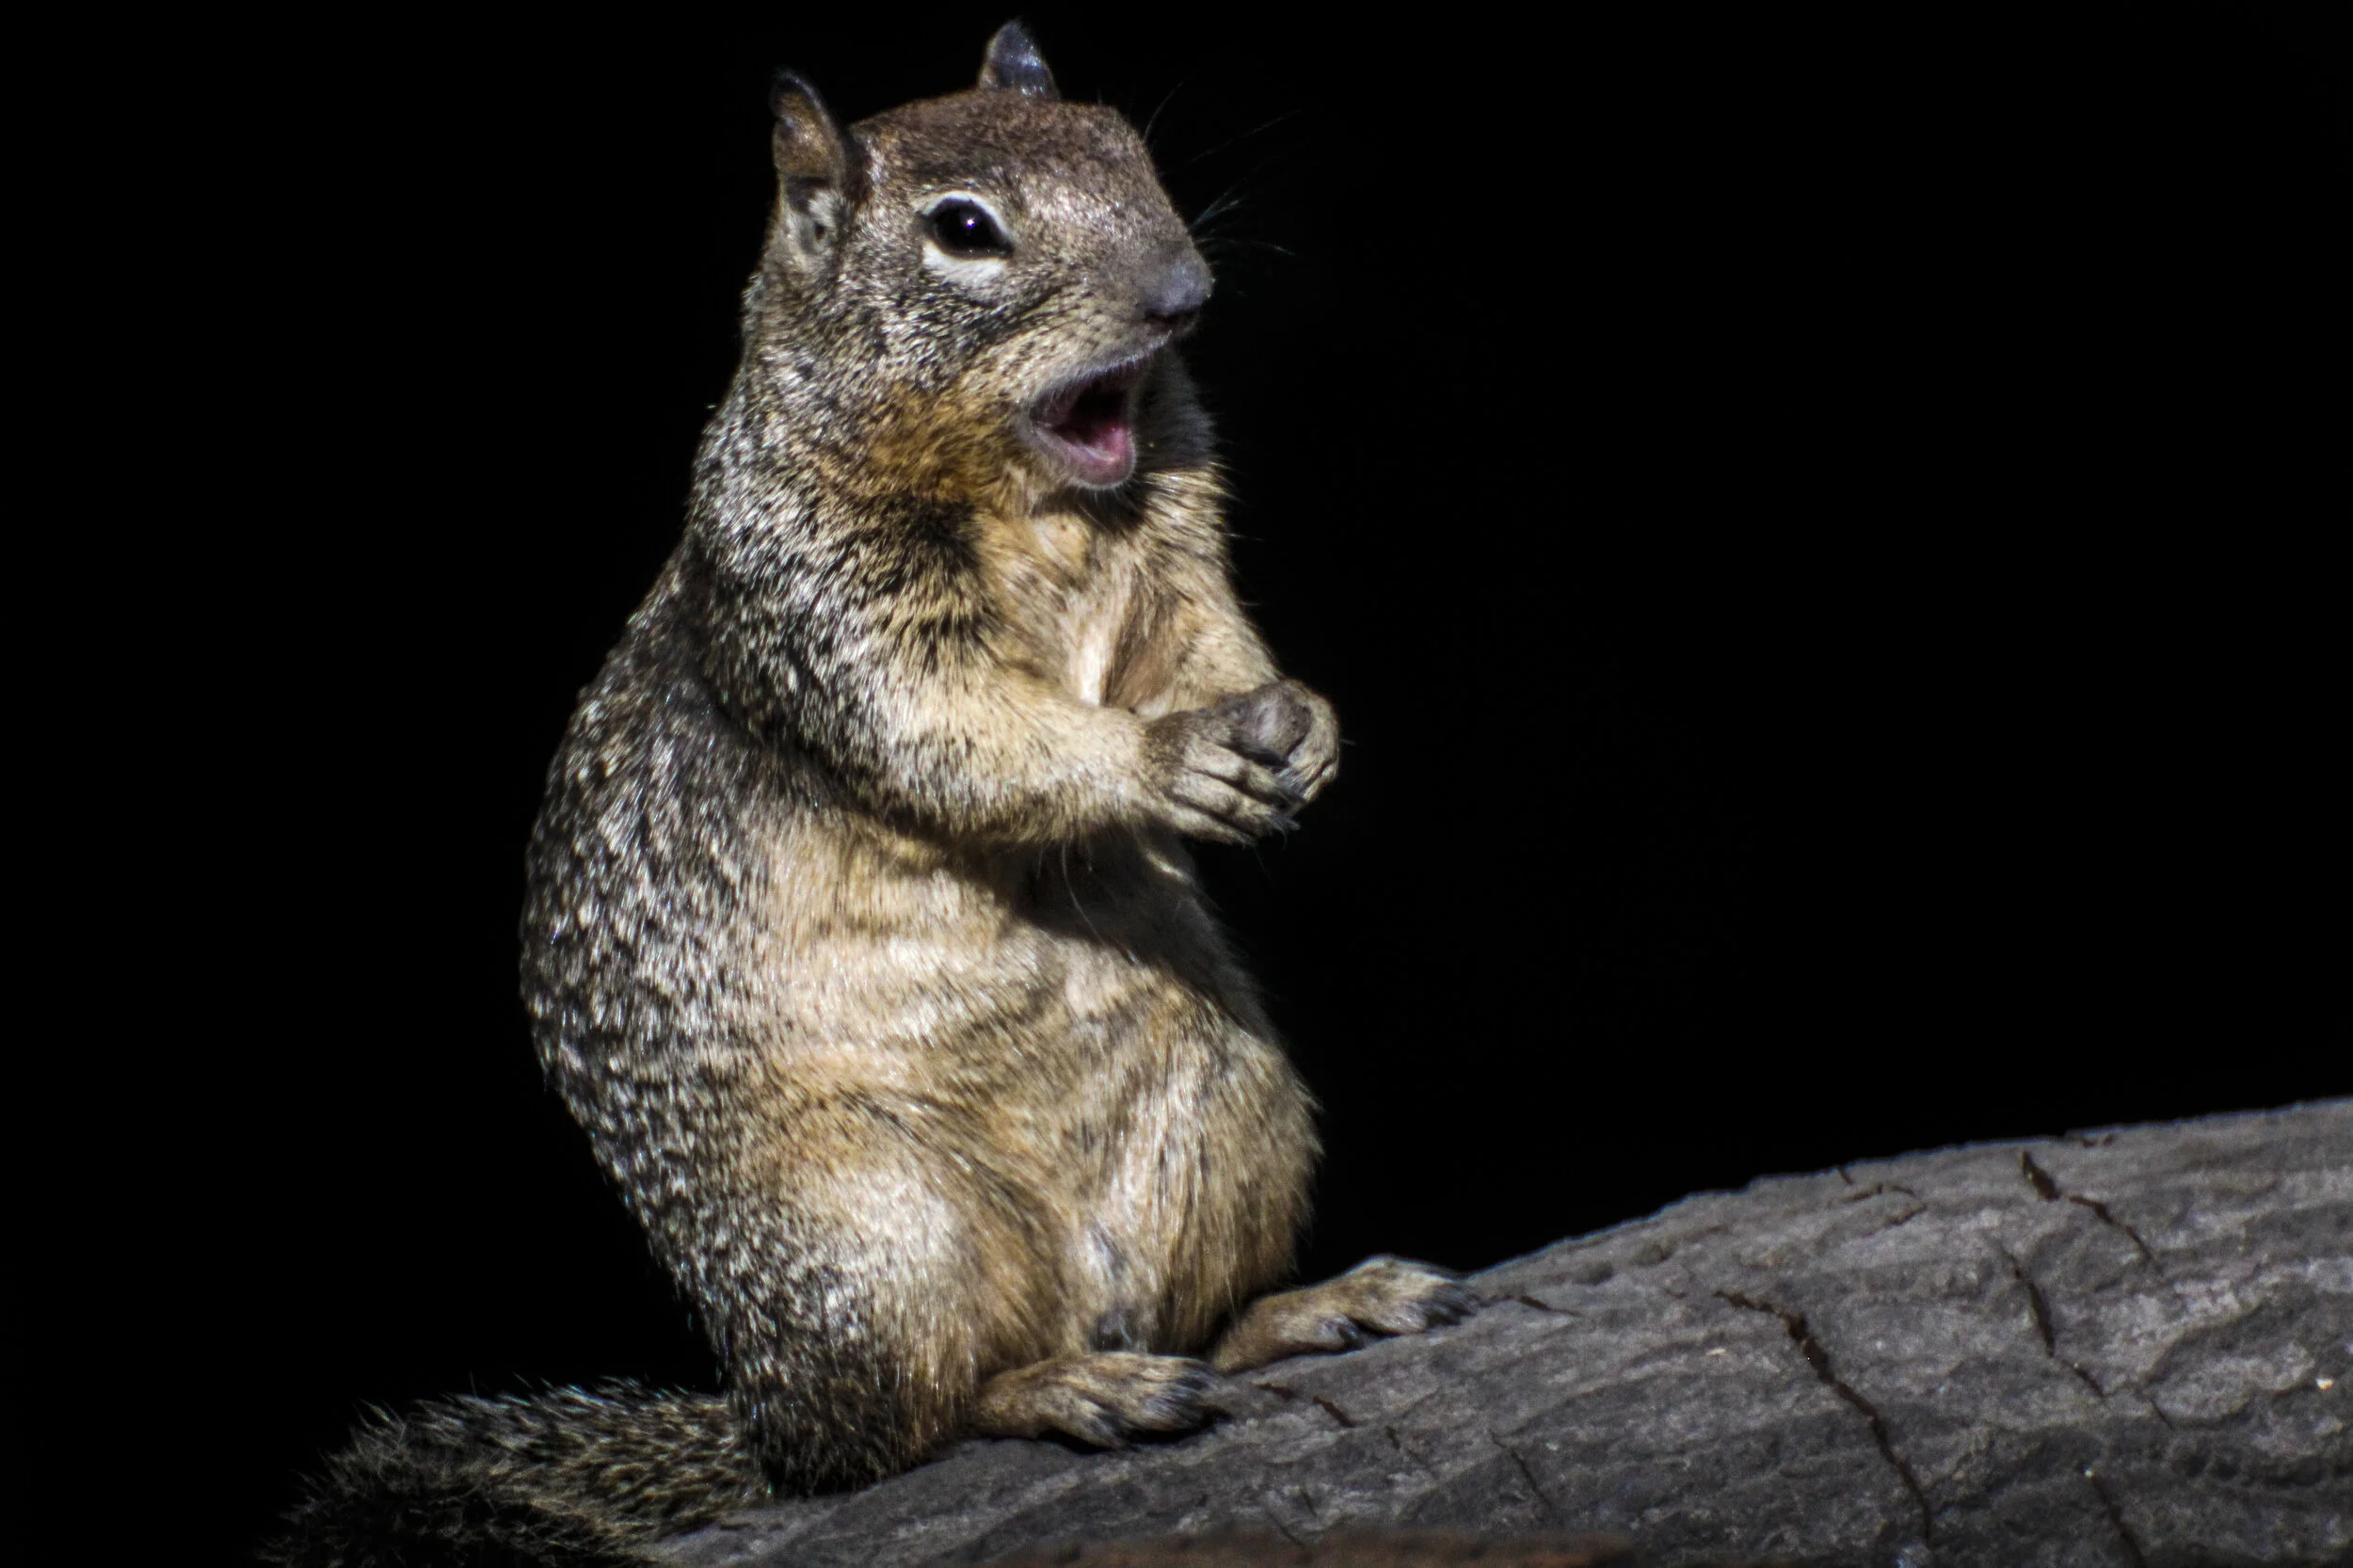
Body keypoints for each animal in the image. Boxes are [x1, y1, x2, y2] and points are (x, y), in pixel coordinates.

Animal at [271, 23, 1474, 1567]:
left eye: (1123, 143)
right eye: (963, 231)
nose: (1184, 293)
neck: (1040, 494)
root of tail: (758, 1421)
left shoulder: (1184, 557)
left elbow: (1210, 651)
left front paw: (1305, 728)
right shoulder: (819, 602)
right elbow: (958, 735)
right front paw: (1158, 764)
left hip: (1232, 1112)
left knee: (1192, 1320)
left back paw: (1307, 1306)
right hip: (876, 1238)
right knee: (906, 1429)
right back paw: (1064, 1388)